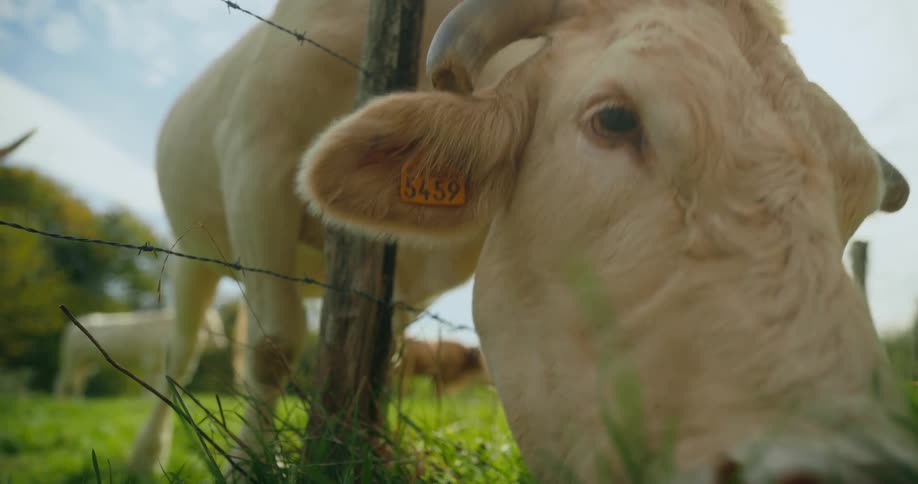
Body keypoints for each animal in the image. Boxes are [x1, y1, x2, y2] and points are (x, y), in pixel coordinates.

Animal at [53, 307, 228, 398]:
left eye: (219, 325)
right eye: (209, 326)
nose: (221, 344)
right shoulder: (151, 359)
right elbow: (152, 381)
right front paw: (146, 400)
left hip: (84, 363)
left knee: (77, 383)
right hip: (70, 360)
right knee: (63, 382)